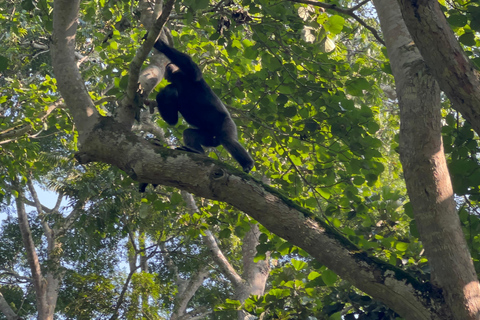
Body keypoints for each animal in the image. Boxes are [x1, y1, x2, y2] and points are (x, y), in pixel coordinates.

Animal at [154, 40, 255, 174]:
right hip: (209, 138)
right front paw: (163, 94)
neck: (179, 80)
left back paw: (247, 164)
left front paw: (161, 46)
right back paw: (197, 152)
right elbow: (172, 119)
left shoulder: (188, 75)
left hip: (226, 123)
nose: (165, 74)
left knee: (227, 139)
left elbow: (193, 70)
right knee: (190, 134)